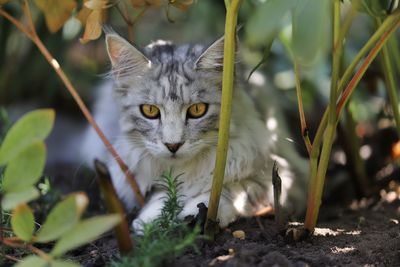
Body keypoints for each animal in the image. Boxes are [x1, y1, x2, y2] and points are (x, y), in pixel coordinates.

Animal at [80, 30, 306, 232]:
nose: (173, 145)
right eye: (150, 111)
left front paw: (194, 212)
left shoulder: (284, 176)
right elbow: (164, 193)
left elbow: (233, 189)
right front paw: (154, 218)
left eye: (197, 110)